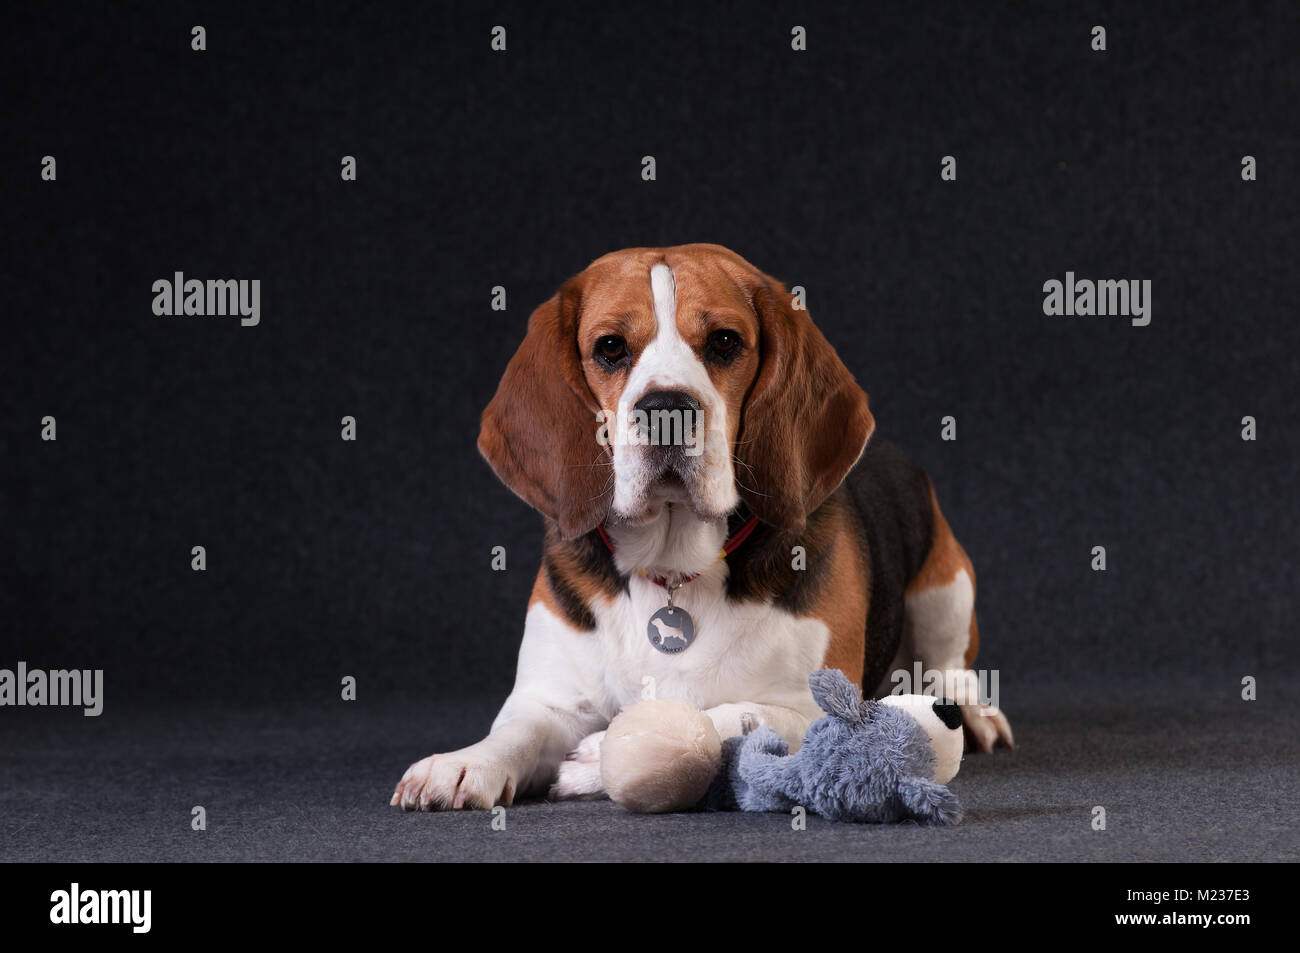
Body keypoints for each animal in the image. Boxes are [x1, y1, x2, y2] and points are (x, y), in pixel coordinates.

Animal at [390, 241, 1008, 806]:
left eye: (725, 342)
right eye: (610, 347)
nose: (666, 407)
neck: (673, 570)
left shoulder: (815, 708)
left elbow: (722, 717)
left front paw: (602, 753)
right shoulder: (551, 698)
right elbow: (517, 730)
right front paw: (464, 764)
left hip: (946, 589)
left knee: (948, 666)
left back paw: (973, 714)